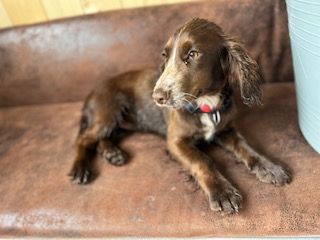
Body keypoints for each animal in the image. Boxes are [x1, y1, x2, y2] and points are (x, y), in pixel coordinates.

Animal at [70, 18, 292, 214]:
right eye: (164, 55)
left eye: (193, 54)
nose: (157, 96)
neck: (206, 105)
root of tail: (90, 94)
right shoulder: (175, 142)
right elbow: (202, 160)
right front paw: (222, 192)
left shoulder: (226, 129)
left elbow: (245, 146)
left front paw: (269, 167)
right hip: (109, 112)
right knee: (84, 139)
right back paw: (80, 168)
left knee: (101, 138)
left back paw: (112, 153)